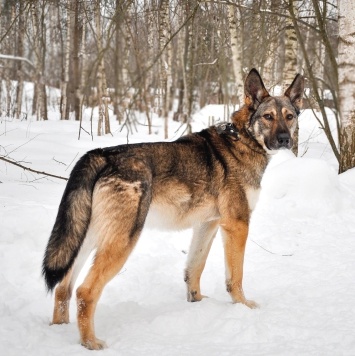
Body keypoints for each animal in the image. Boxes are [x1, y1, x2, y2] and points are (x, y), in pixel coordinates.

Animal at [41, 68, 304, 350]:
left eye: (289, 116)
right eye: (268, 117)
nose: (285, 139)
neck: (243, 139)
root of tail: (102, 154)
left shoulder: (207, 224)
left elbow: (194, 268)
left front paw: (196, 302)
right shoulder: (237, 224)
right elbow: (235, 277)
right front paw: (243, 306)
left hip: (86, 239)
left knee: (63, 288)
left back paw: (59, 329)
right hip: (122, 241)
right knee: (84, 291)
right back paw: (90, 342)